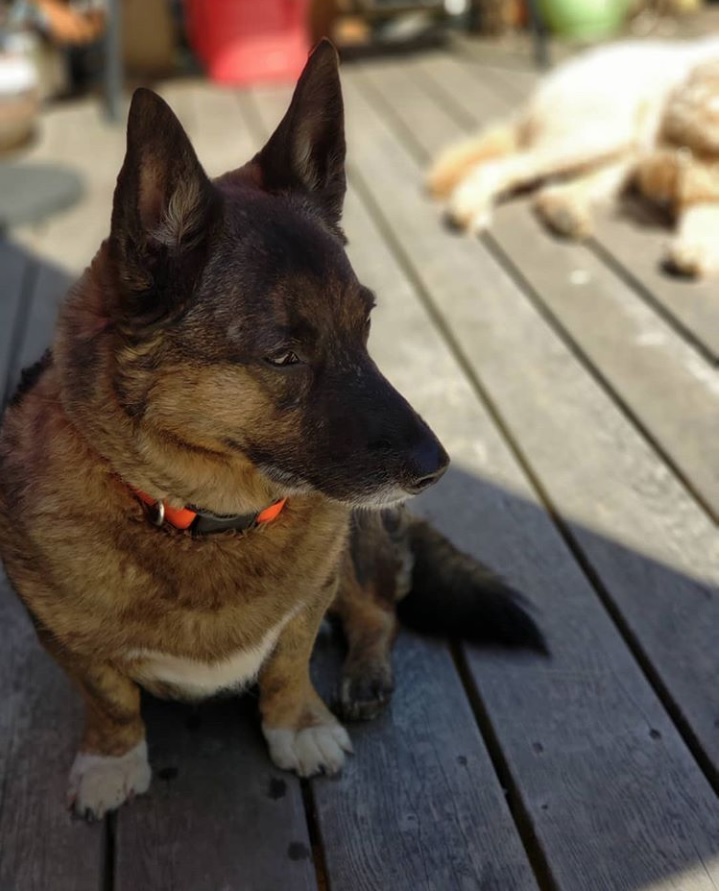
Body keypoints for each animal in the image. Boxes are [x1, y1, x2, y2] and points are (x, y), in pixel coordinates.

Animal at [0, 41, 544, 824]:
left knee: (380, 606)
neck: (205, 517)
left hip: (360, 543)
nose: (436, 468)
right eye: (283, 356)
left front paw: (298, 725)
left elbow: (288, 665)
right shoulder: (69, 642)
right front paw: (111, 758)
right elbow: (111, 699)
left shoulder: (309, 600)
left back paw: (364, 673)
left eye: (364, 325)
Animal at [428, 36, 716, 278]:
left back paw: (565, 215)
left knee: (552, 191)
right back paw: (468, 209)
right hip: (600, 135)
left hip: (621, 154)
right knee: (496, 168)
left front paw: (695, 249)